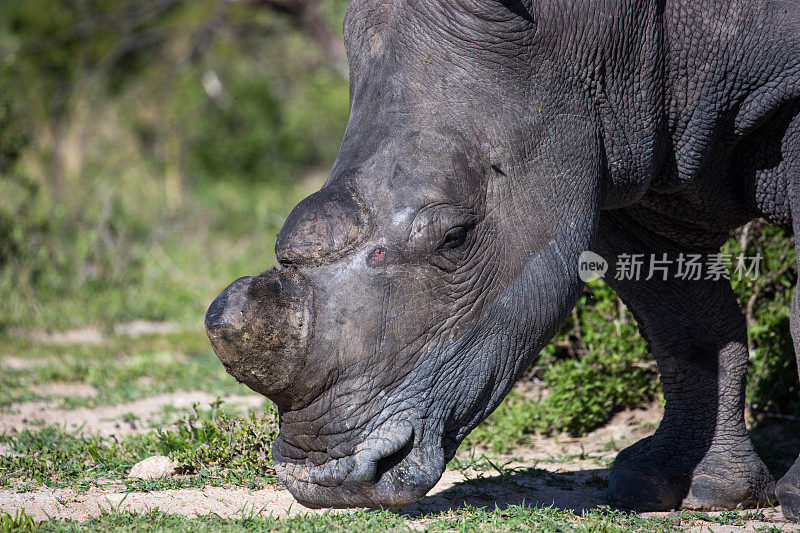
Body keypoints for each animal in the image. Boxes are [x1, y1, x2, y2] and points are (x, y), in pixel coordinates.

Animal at [206, 0, 800, 516]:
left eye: (455, 238)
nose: (327, 482)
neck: (601, 37)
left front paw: (790, 497)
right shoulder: (615, 146)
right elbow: (682, 318)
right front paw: (689, 488)